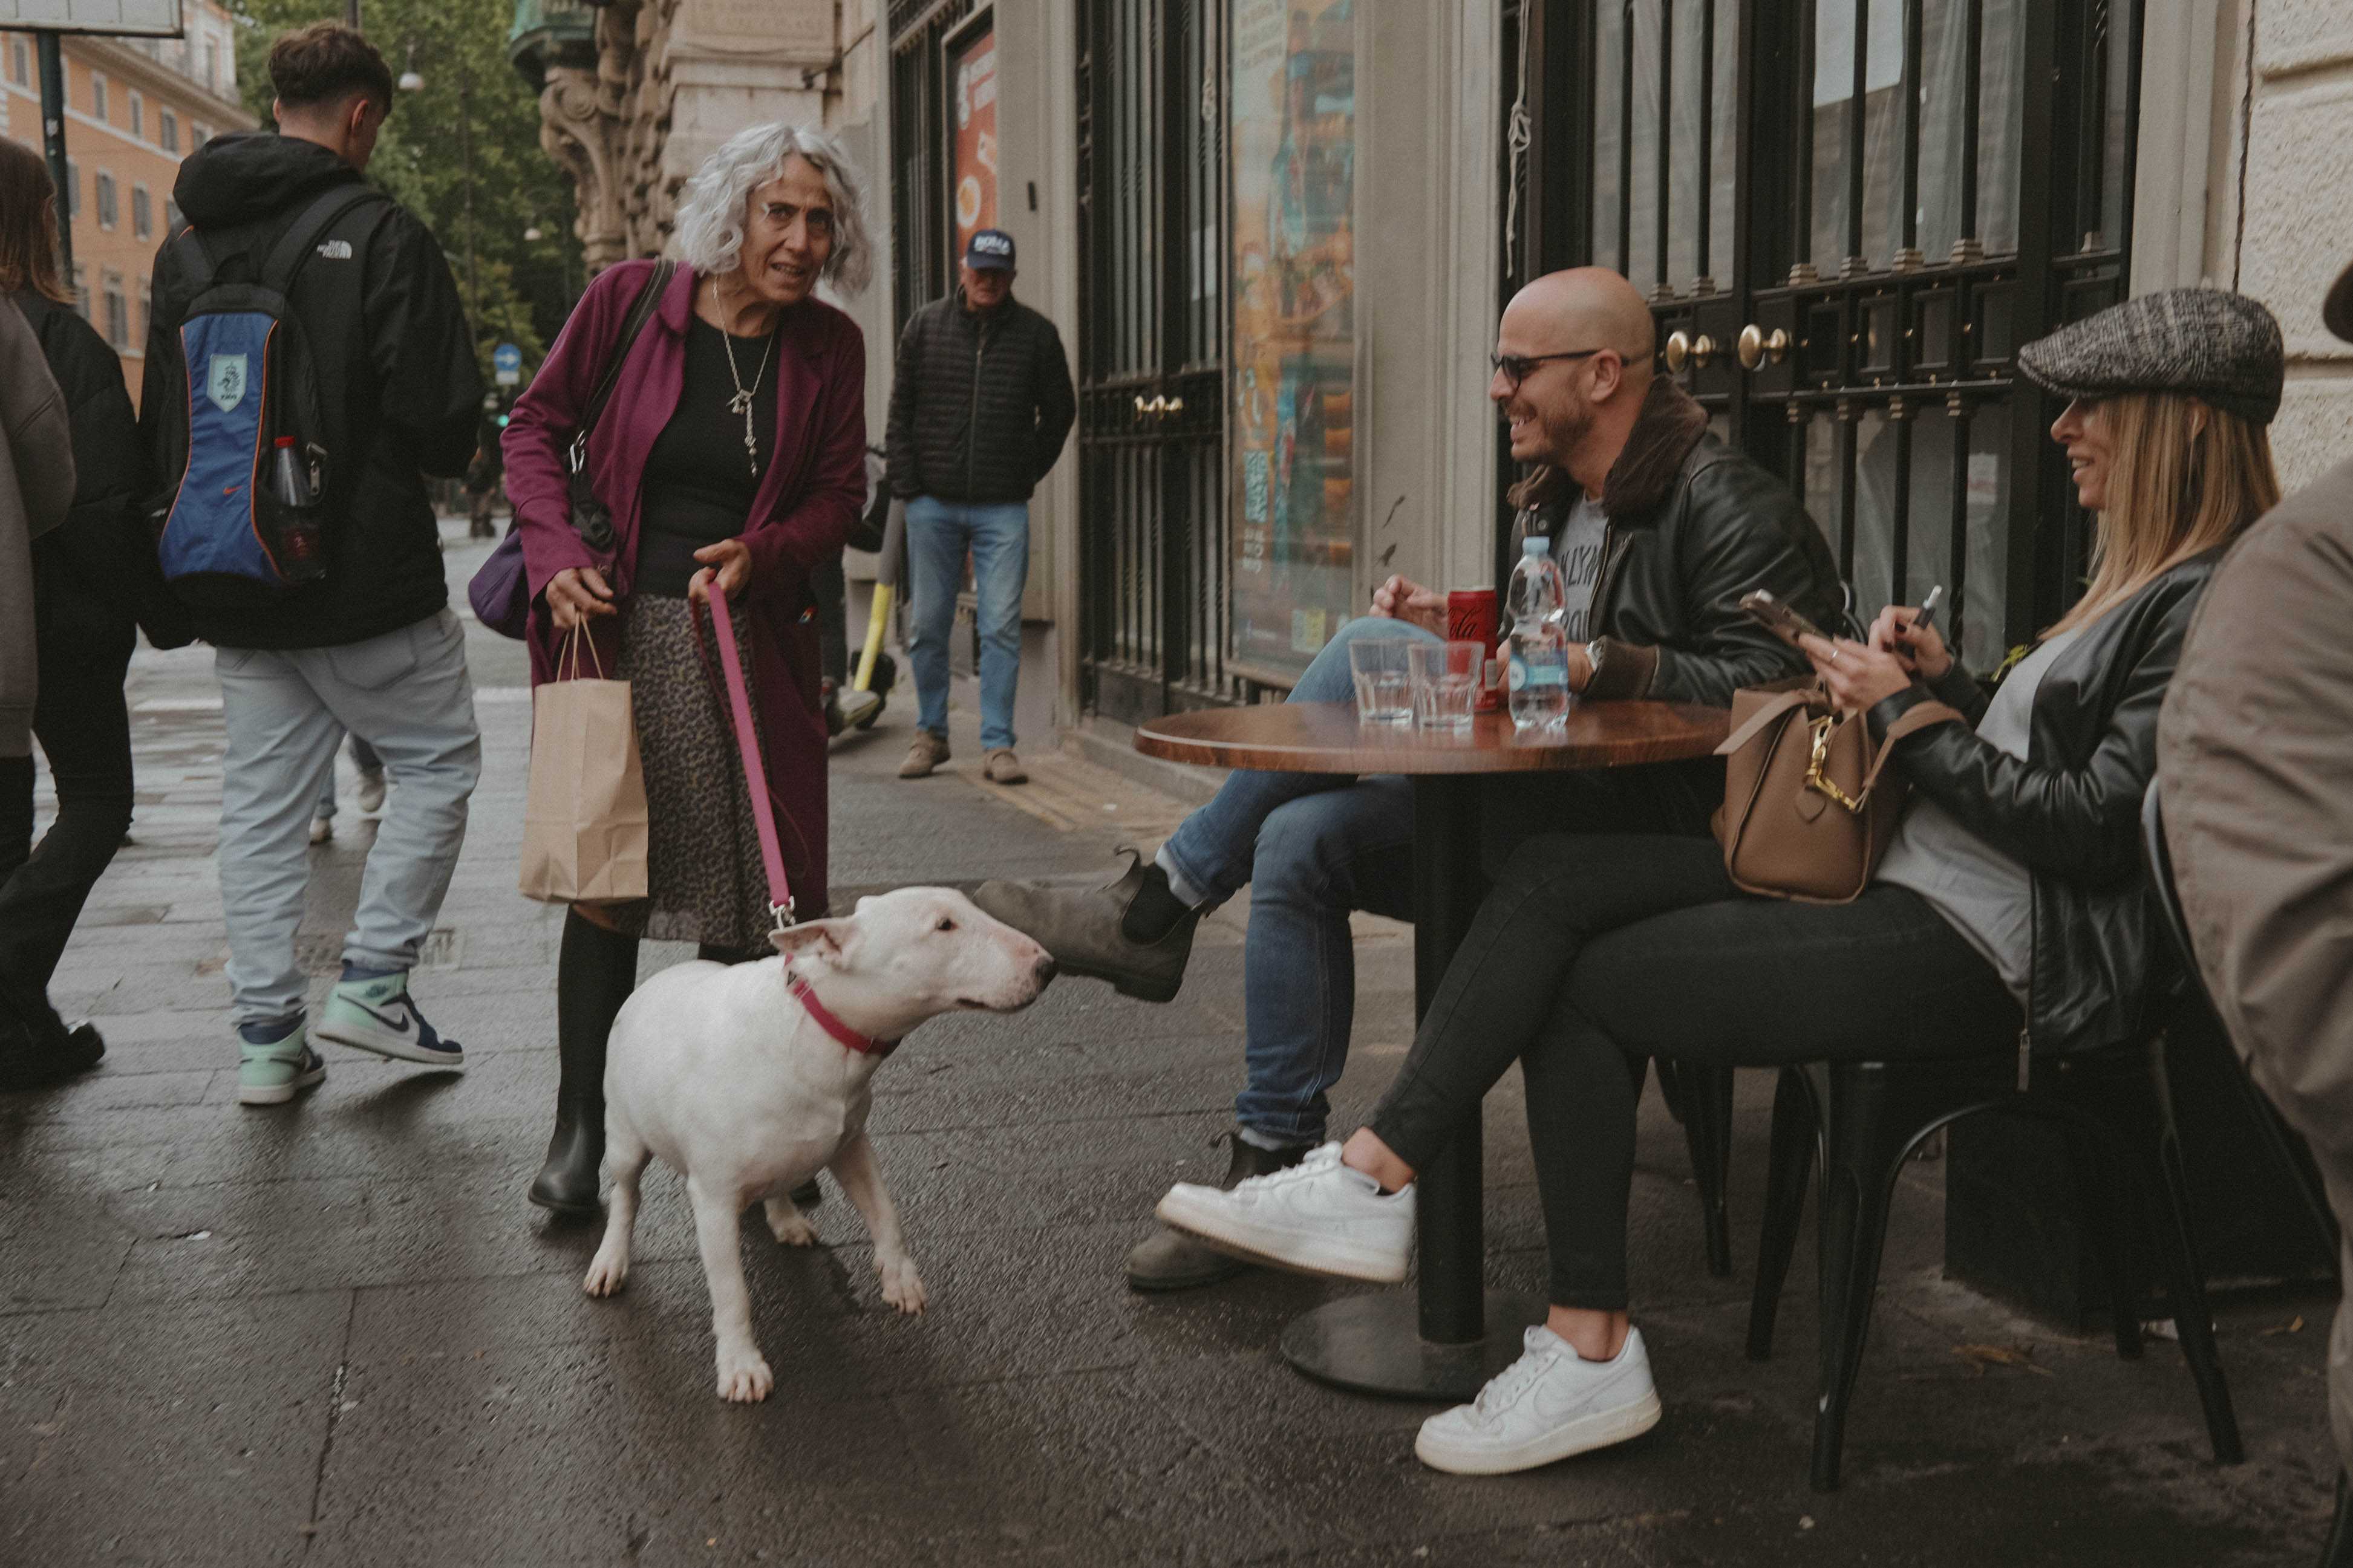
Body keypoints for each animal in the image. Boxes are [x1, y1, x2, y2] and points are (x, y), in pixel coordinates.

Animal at [578, 888, 1059, 1400]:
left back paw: (787, 1218)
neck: (821, 1029)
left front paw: (901, 1279)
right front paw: (741, 1367)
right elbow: (731, 1290)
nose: (1048, 966)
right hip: (624, 1132)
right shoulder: (713, 1195)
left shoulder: (851, 1144)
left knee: (776, 1181)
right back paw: (610, 1261)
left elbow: (886, 1210)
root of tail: (649, 985)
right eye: (944, 925)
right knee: (627, 1193)